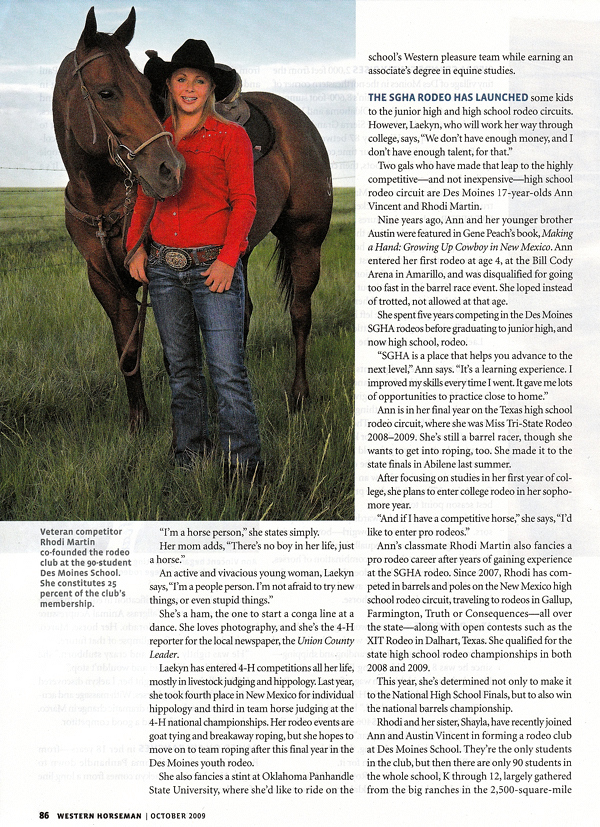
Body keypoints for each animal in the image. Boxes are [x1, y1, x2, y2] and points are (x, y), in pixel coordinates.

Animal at [55, 6, 332, 430]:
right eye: (106, 92)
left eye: (145, 88)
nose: (168, 169)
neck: (102, 195)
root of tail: (299, 120)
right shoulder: (105, 280)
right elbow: (129, 348)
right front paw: (139, 422)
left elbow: (175, 354)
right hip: (238, 251)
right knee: (241, 316)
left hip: (305, 240)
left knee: (301, 312)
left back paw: (298, 394)